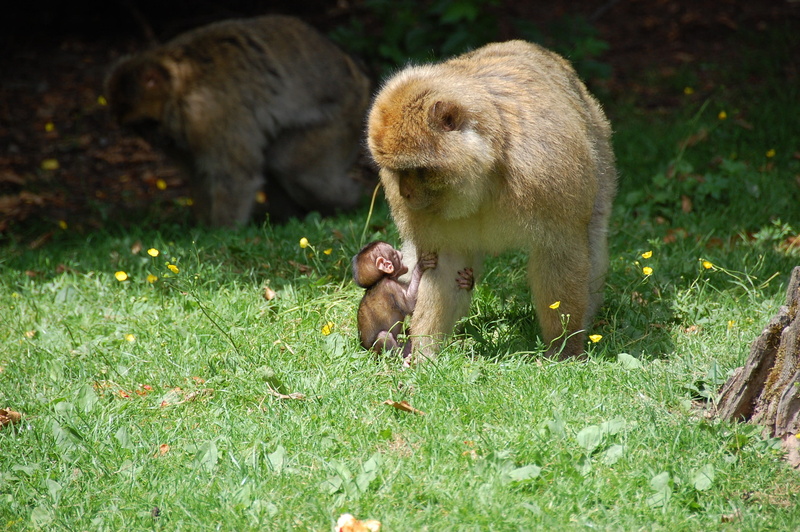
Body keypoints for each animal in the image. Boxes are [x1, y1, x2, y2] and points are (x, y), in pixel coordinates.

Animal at [105, 15, 371, 227]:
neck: (182, 87)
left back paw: (352, 202)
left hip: (342, 117)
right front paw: (201, 227)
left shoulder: (212, 112)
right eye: (137, 129)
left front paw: (220, 232)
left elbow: (235, 175)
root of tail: (361, 78)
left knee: (294, 168)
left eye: (147, 124)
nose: (156, 141)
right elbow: (199, 174)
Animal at [367, 40, 617, 360]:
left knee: (594, 233)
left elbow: (559, 251)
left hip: (599, 147)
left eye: (416, 170)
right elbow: (444, 261)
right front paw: (425, 354)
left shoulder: (546, 175)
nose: (405, 194)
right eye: (397, 171)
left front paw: (564, 348)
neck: (485, 174)